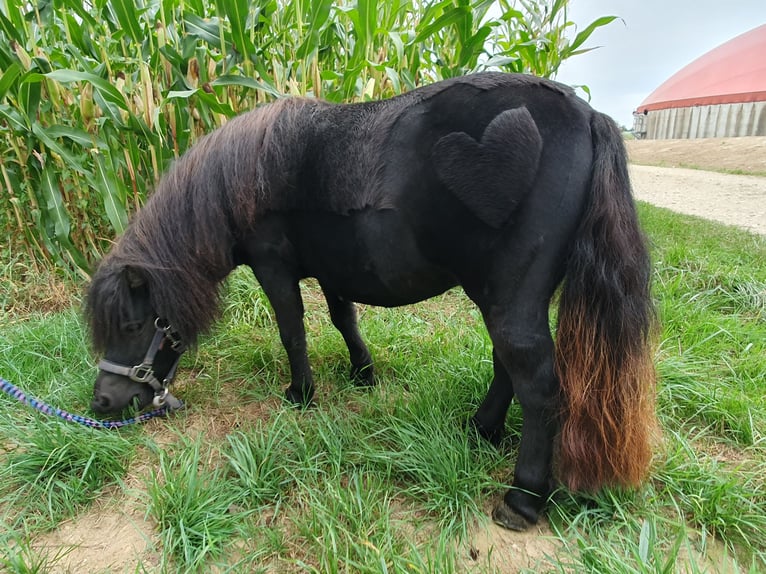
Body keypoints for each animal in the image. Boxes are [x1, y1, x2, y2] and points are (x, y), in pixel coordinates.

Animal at [85, 74, 660, 532]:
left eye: (134, 325)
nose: (101, 404)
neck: (247, 174)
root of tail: (590, 116)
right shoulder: (334, 270)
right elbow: (344, 319)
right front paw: (363, 372)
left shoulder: (274, 268)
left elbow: (292, 330)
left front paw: (301, 393)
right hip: (499, 296)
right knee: (507, 366)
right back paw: (481, 430)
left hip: (510, 299)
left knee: (535, 383)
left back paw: (522, 497)